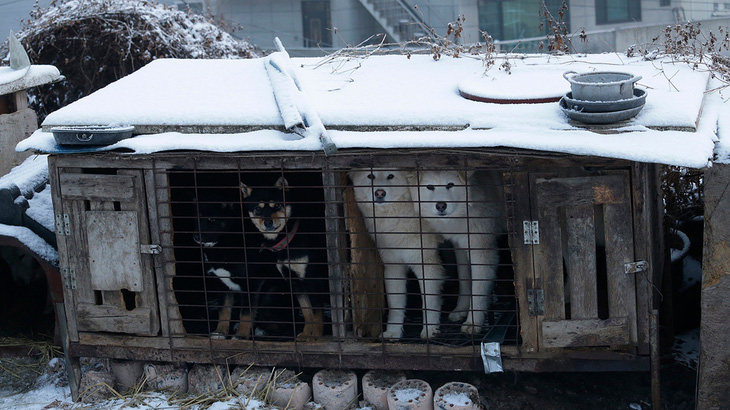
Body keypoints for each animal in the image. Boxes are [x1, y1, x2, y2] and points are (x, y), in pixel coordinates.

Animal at [348, 170, 444, 340]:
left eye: (391, 176)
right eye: (370, 176)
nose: (380, 193)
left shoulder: (426, 264)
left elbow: (429, 301)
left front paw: (430, 330)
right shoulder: (393, 266)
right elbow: (395, 304)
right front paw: (393, 331)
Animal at [410, 170, 506, 334]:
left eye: (450, 184)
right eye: (430, 187)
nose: (441, 205)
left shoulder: (481, 251)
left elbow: (478, 287)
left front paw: (473, 322)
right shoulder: (460, 246)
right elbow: (465, 278)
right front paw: (461, 309)